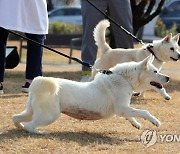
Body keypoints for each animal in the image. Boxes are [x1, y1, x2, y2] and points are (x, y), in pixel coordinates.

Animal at [13, 55, 170, 134]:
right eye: (155, 71)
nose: (168, 78)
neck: (123, 79)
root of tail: (37, 83)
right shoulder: (122, 108)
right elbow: (144, 112)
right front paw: (155, 121)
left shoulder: (123, 109)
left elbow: (131, 115)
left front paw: (136, 124)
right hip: (49, 115)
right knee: (29, 126)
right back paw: (39, 132)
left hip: (32, 112)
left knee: (16, 118)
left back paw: (20, 126)